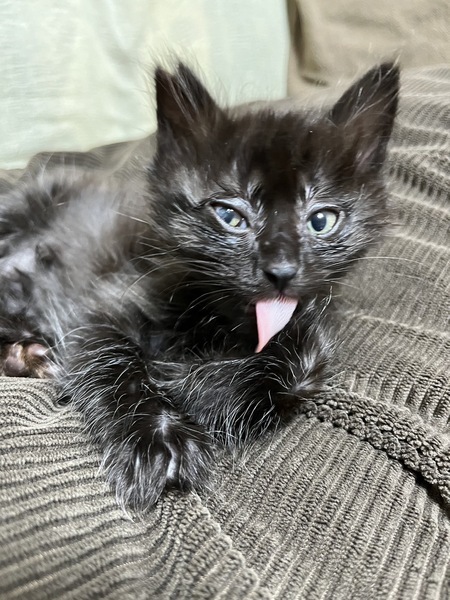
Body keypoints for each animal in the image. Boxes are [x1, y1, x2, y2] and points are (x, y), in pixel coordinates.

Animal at [0, 62, 399, 509]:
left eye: (321, 220)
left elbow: (290, 370)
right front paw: (158, 439)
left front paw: (188, 384)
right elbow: (114, 358)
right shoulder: (103, 302)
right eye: (229, 215)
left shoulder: (312, 336)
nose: (280, 269)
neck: (222, 320)